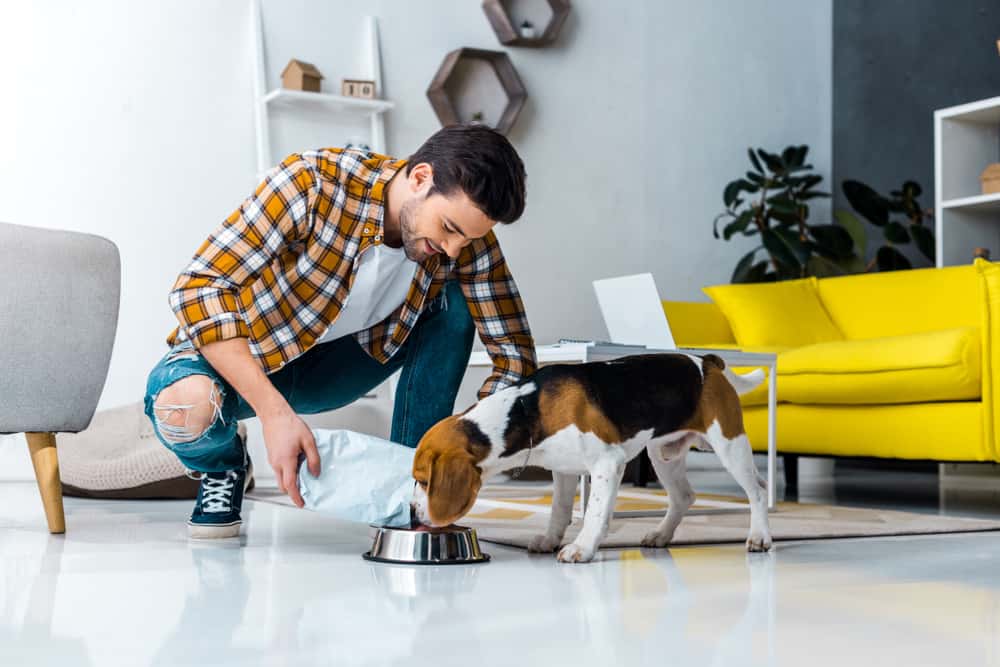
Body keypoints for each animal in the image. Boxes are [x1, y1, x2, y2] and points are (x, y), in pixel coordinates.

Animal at [410, 354, 768, 564]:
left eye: (424, 481)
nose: (412, 512)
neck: (527, 410)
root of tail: (707, 362)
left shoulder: (608, 464)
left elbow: (594, 513)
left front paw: (581, 548)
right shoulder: (563, 469)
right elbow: (559, 511)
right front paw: (550, 540)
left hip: (729, 445)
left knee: (759, 490)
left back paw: (759, 536)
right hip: (662, 454)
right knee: (684, 496)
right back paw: (661, 535)